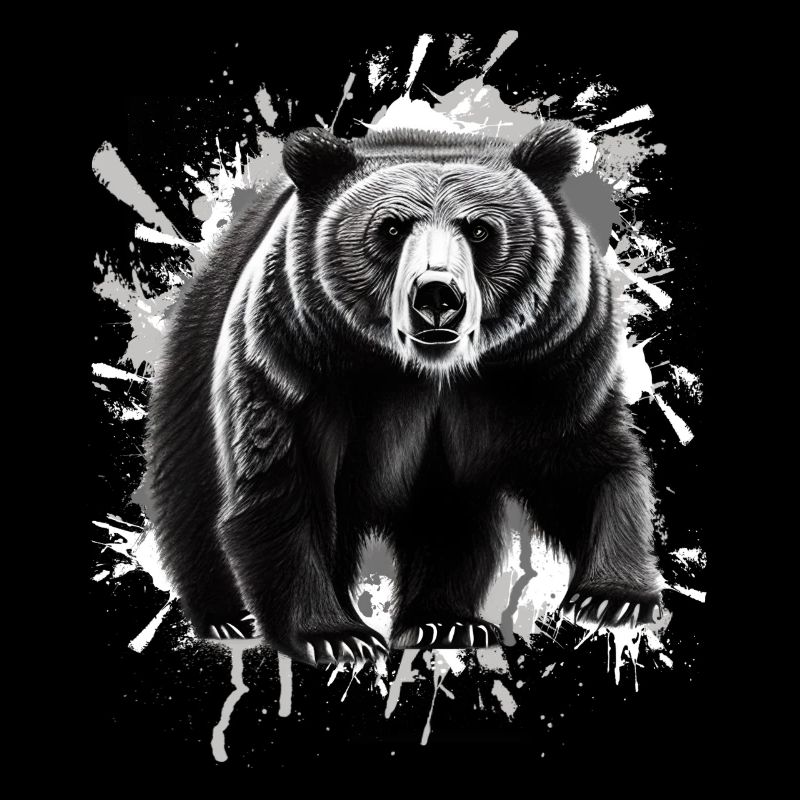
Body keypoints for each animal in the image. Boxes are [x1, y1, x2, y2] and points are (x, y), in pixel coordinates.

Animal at [146, 122, 666, 668]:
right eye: (392, 229)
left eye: (480, 229)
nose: (437, 295)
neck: (423, 373)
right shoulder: (294, 357)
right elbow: (283, 480)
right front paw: (335, 634)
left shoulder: (551, 361)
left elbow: (583, 462)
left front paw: (614, 597)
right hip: (194, 365)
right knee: (190, 495)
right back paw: (223, 616)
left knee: (453, 516)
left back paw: (445, 622)